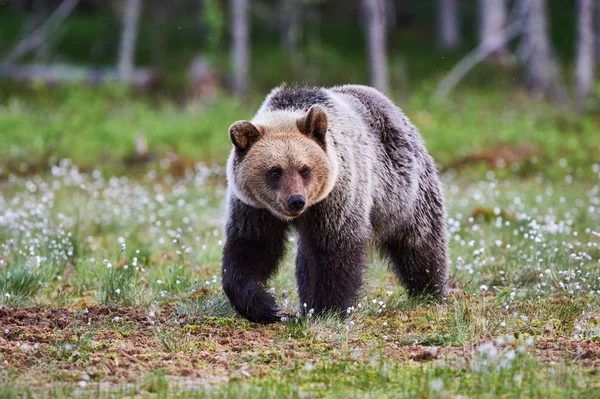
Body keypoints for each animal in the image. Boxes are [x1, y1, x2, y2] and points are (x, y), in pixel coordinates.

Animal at [220, 85, 446, 324]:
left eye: (305, 169)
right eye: (275, 171)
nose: (296, 200)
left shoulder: (336, 199)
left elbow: (336, 251)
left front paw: (327, 309)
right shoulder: (255, 208)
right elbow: (252, 248)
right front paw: (266, 306)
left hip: (404, 193)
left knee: (420, 244)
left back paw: (428, 292)